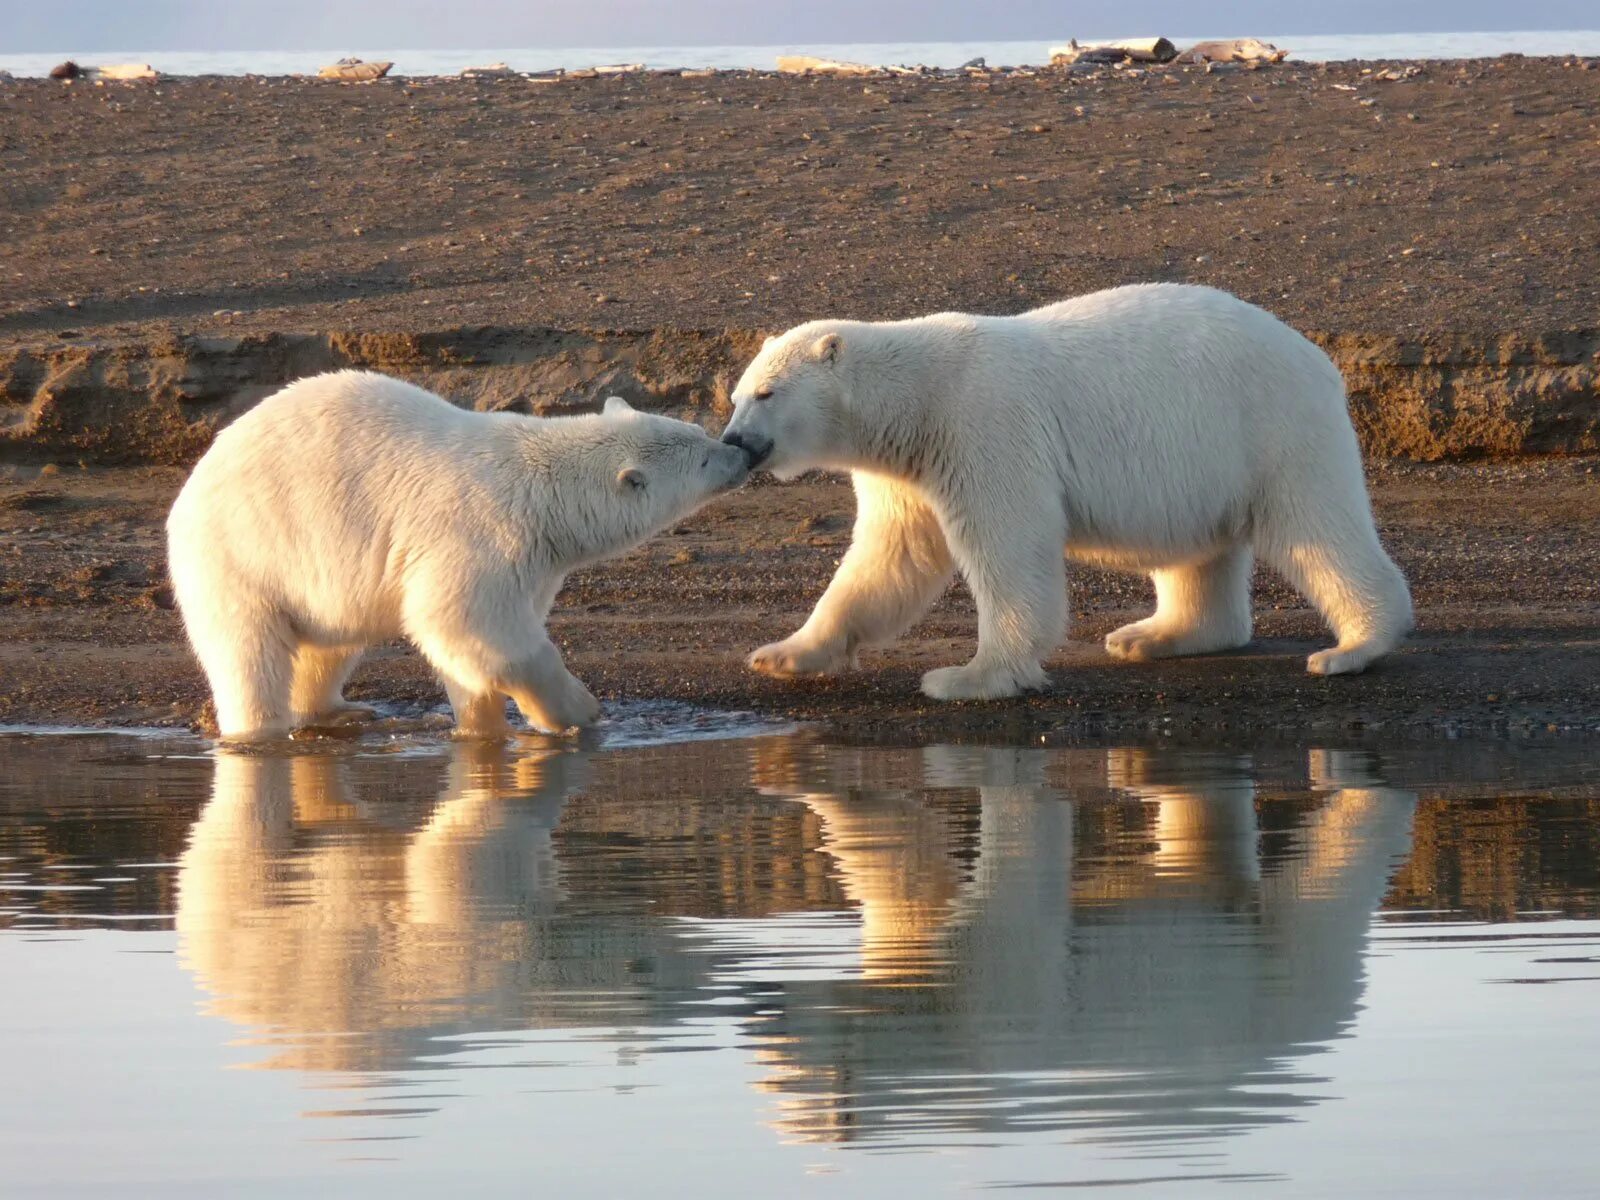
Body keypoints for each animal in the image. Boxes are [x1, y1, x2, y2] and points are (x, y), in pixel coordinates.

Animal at [168, 371, 748, 739]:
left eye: (699, 431)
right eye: (702, 458)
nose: (739, 452)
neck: (543, 491)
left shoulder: (535, 563)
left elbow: (469, 653)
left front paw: (481, 726)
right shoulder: (479, 532)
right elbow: (464, 623)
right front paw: (578, 710)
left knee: (329, 644)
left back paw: (341, 711)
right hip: (241, 554)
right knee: (248, 653)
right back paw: (260, 729)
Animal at [726, 284, 1414, 700]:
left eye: (766, 393)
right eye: (734, 395)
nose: (734, 441)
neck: (917, 396)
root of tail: (1320, 361)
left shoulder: (982, 426)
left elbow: (1008, 547)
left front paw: (968, 676)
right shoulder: (906, 472)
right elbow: (888, 561)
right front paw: (781, 653)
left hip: (1274, 426)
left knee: (1318, 528)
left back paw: (1352, 648)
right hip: (1202, 461)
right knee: (1198, 552)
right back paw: (1152, 635)